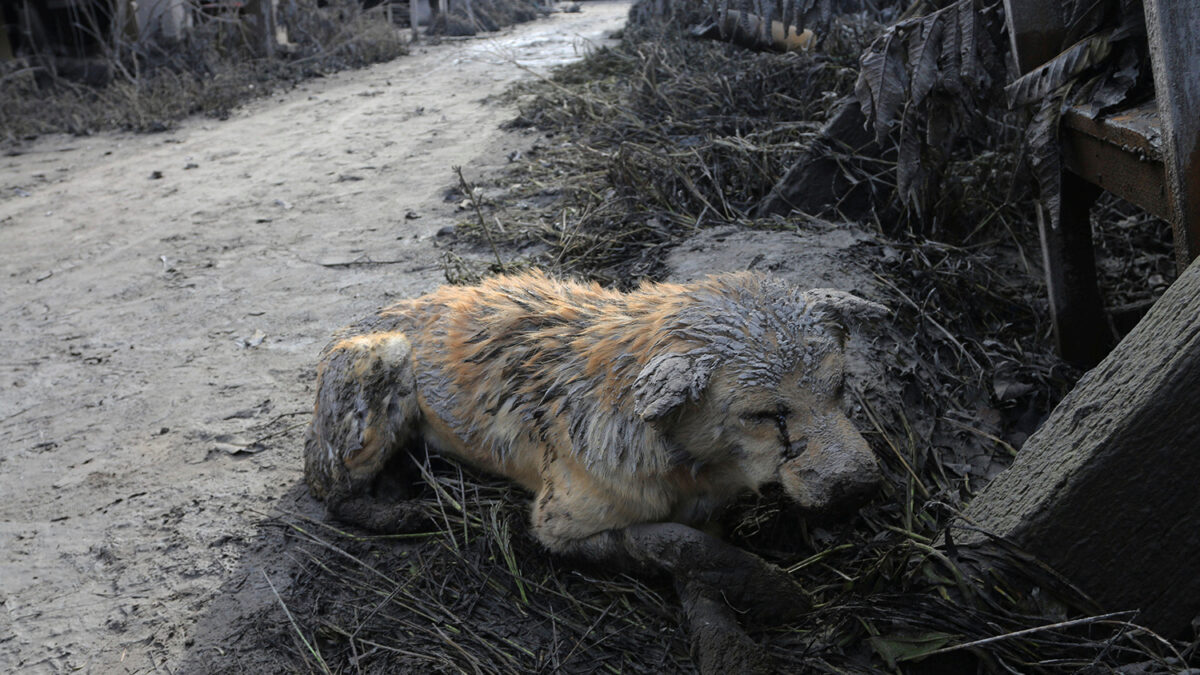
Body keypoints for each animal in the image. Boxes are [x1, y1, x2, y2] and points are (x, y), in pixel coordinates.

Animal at [304, 269, 888, 672]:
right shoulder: (555, 527)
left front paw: (728, 643)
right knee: (332, 493)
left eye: (840, 387)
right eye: (766, 415)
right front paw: (770, 590)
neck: (685, 461)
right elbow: (671, 543)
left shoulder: (707, 512)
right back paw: (404, 514)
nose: (860, 488)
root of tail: (376, 311)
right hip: (384, 362)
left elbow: (699, 564)